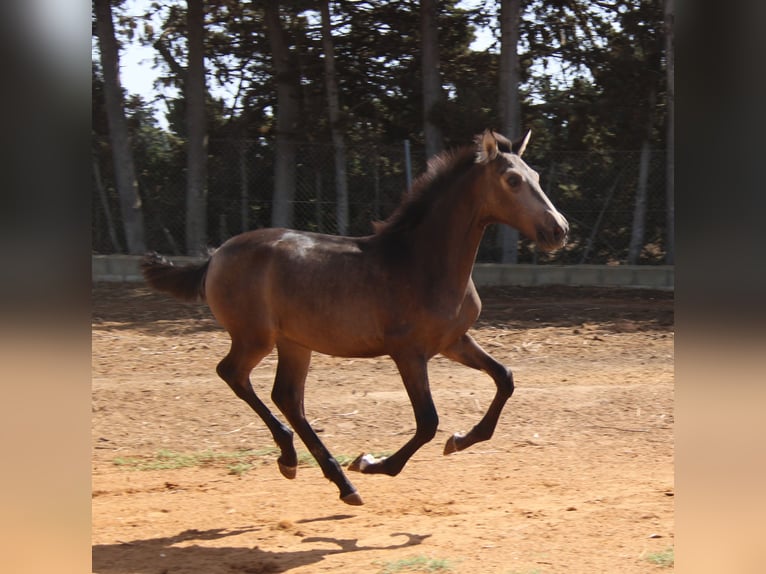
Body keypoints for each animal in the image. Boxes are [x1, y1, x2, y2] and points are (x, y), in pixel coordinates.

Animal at [142, 129, 568, 504]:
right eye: (512, 180)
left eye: (536, 176)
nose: (558, 230)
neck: (421, 262)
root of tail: (215, 256)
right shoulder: (408, 353)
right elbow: (428, 421)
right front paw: (371, 463)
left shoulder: (453, 341)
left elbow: (504, 378)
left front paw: (460, 440)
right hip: (255, 338)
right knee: (234, 374)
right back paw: (312, 465)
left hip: (294, 343)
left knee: (287, 397)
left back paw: (326, 477)